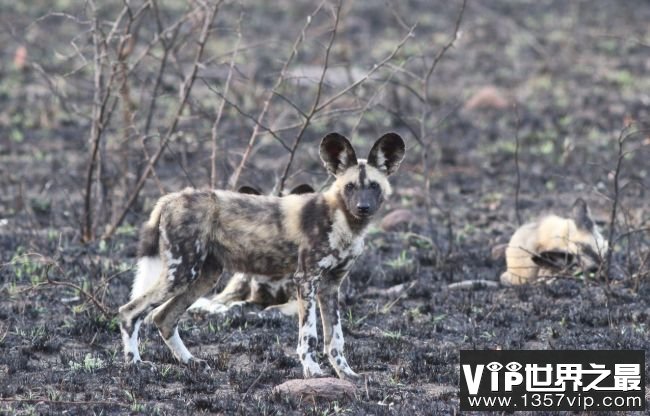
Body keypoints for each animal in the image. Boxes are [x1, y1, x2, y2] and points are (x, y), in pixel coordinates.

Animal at [187, 183, 314, 316]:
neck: (275, 275)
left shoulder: (300, 301)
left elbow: (273, 308)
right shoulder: (258, 299)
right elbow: (241, 304)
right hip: (240, 281)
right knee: (217, 300)